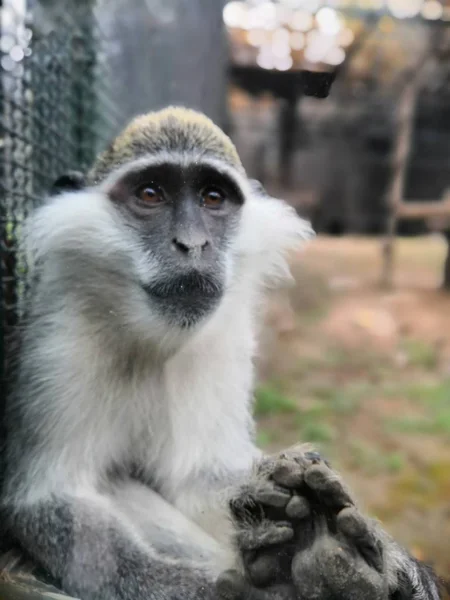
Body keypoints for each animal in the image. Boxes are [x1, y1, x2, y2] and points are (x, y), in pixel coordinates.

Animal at [0, 108, 442, 600]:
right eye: (150, 193)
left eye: (213, 197)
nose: (193, 244)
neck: (151, 337)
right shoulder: (59, 343)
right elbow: (51, 499)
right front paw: (232, 589)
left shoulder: (222, 337)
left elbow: (200, 475)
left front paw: (386, 561)